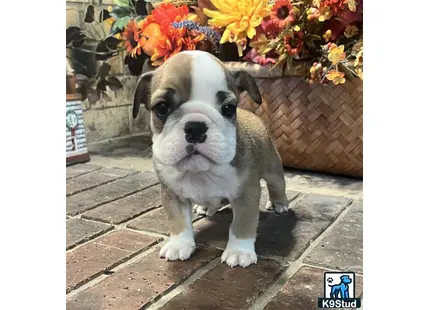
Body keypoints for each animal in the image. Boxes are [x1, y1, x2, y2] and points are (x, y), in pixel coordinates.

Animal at [134, 50, 288, 266]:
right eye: (161, 107)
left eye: (228, 108)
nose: (195, 127)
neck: (201, 172)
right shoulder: (172, 194)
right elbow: (178, 220)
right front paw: (179, 244)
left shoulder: (247, 193)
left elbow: (243, 223)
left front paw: (239, 250)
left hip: (272, 167)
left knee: (277, 184)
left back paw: (279, 204)